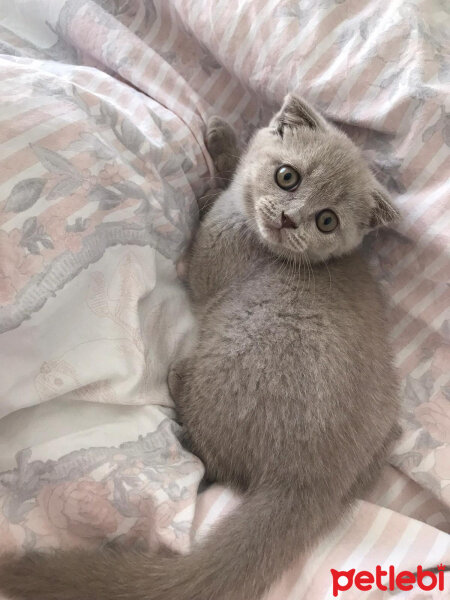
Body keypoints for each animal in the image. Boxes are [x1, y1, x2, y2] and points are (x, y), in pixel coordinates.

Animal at [0, 95, 400, 600]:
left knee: (216, 459)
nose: (289, 218)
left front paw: (220, 149)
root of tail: (319, 480)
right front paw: (228, 142)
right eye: (287, 176)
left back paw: (178, 383)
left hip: (242, 339)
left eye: (327, 220)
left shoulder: (210, 258)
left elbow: (208, 222)